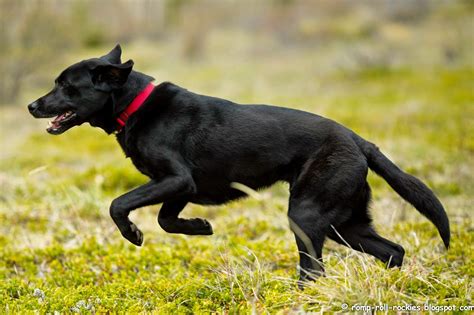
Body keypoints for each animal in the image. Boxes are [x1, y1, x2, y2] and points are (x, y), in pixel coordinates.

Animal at [27, 45, 450, 284]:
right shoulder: (181, 186)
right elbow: (166, 219)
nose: (32, 105)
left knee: (314, 270)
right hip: (346, 223)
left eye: (67, 86)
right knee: (394, 250)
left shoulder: (175, 179)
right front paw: (200, 227)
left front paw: (132, 234)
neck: (135, 104)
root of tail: (358, 140)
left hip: (308, 214)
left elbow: (119, 204)